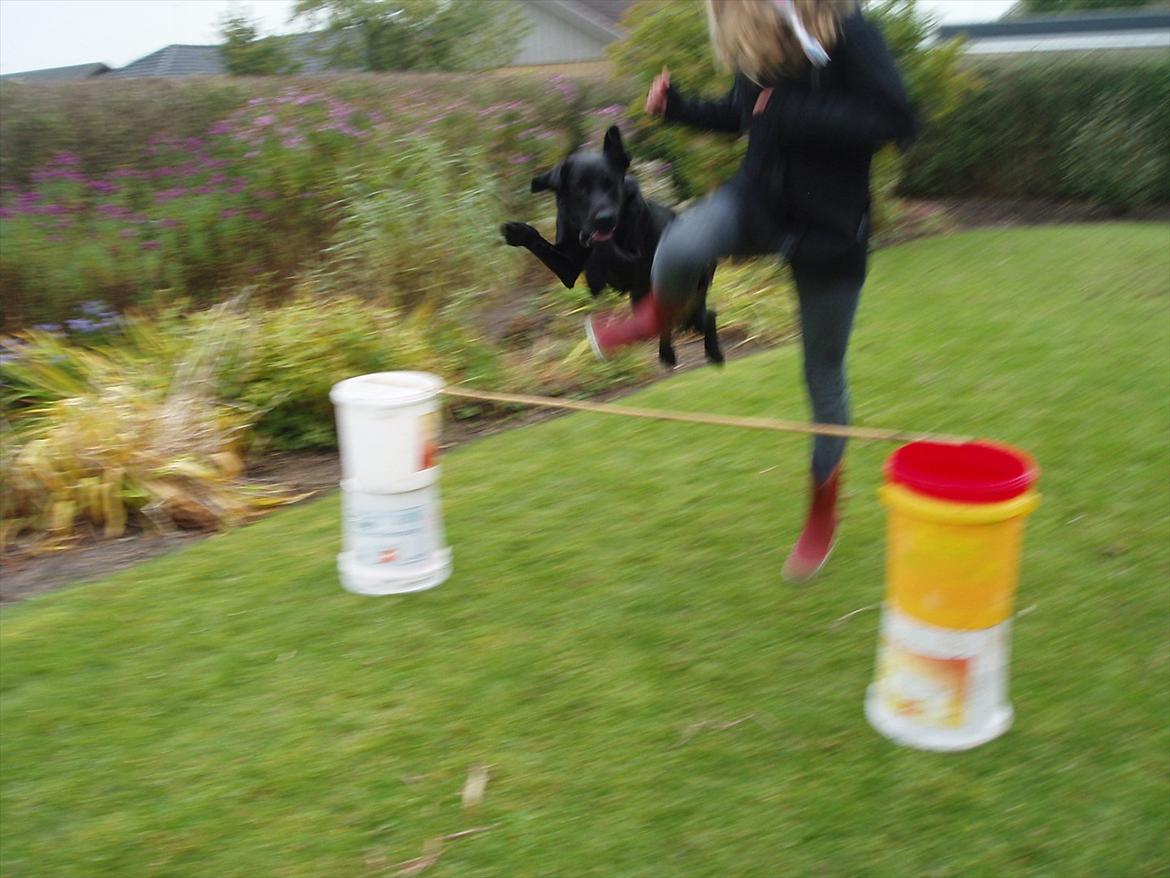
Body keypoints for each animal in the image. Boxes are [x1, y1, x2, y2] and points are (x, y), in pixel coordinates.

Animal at [498, 127, 716, 367]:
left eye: (610, 184)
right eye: (580, 189)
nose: (605, 219)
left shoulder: (638, 262)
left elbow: (602, 248)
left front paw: (595, 273)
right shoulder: (568, 269)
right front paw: (518, 232)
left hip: (685, 295)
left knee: (706, 317)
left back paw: (711, 353)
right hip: (645, 301)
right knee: (662, 324)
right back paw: (667, 354)